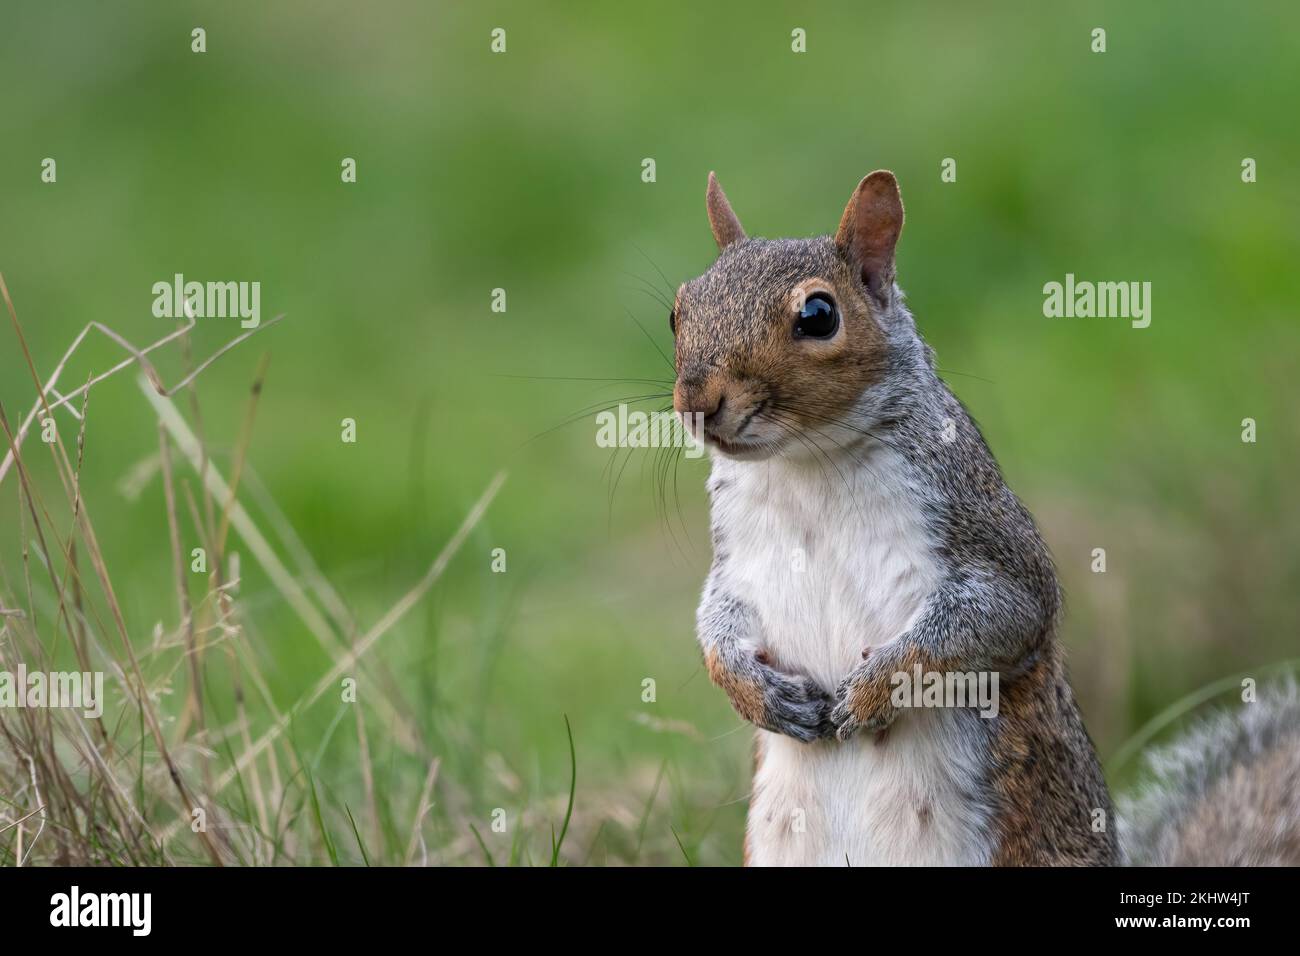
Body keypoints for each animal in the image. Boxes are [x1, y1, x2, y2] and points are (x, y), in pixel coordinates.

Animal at [676, 170, 1300, 868]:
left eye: (818, 315)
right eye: (679, 308)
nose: (697, 400)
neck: (804, 464)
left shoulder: (981, 531)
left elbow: (994, 617)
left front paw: (873, 690)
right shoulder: (737, 561)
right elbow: (716, 621)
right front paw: (755, 692)